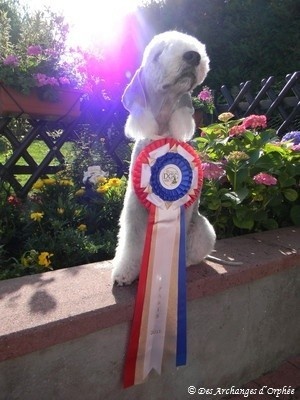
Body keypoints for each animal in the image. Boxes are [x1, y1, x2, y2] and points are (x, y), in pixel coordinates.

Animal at [112, 32, 216, 288]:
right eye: (158, 54)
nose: (194, 56)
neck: (164, 132)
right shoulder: (134, 205)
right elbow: (131, 240)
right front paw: (124, 273)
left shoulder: (184, 210)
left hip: (204, 228)